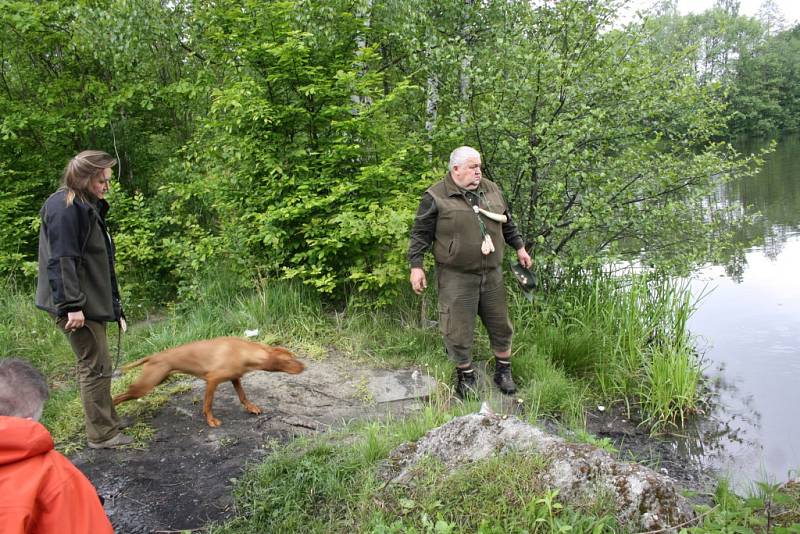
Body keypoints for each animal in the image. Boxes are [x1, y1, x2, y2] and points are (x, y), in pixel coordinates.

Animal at [111, 340, 302, 428]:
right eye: (289, 360)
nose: (304, 366)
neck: (242, 351)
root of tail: (153, 357)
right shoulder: (212, 381)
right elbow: (208, 404)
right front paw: (211, 420)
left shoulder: (235, 378)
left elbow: (243, 396)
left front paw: (251, 407)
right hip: (145, 386)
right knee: (118, 396)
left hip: (157, 380)